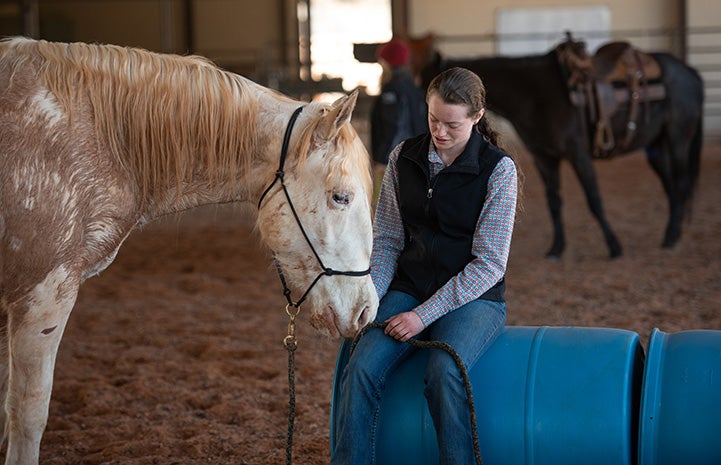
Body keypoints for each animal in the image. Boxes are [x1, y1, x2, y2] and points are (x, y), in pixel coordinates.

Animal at [420, 37, 700, 258]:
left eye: (426, 85)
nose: (430, 130)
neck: (535, 94)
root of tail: (689, 71)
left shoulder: (578, 154)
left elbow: (594, 199)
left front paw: (614, 246)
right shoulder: (544, 157)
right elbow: (554, 202)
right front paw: (557, 248)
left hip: (677, 140)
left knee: (681, 184)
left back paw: (671, 239)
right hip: (656, 147)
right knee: (672, 187)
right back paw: (670, 235)